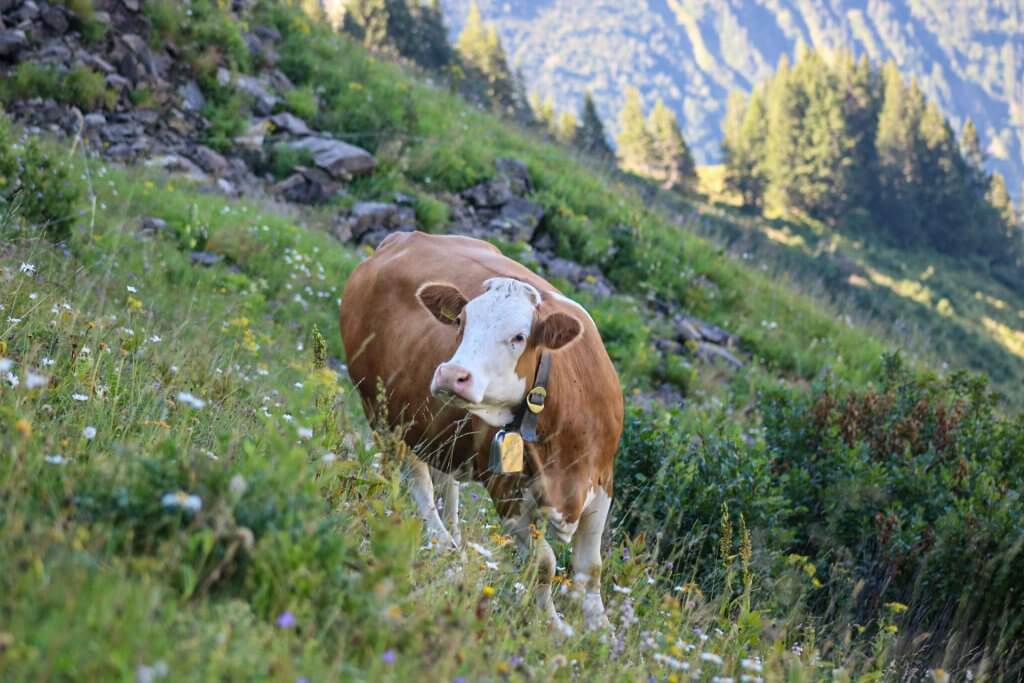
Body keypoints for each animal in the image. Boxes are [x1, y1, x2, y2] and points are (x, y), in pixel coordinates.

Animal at [339, 232, 622, 634]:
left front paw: (602, 631)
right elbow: (545, 563)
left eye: (519, 337)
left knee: (444, 481)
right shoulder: (506, 491)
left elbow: (590, 569)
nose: (450, 374)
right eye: (460, 321)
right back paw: (443, 544)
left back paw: (453, 533)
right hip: (381, 411)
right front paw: (554, 626)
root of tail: (402, 237)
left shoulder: (601, 481)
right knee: (415, 477)